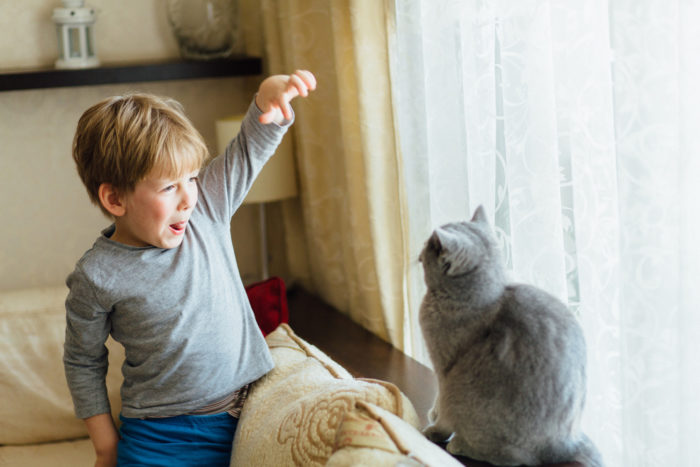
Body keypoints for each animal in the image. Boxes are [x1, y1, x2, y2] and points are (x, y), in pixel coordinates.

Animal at [418, 207, 604, 466]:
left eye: (430, 246)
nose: (420, 250)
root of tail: (567, 443)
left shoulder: (444, 370)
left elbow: (441, 406)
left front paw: (434, 427)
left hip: (463, 394)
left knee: (512, 457)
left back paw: (460, 445)